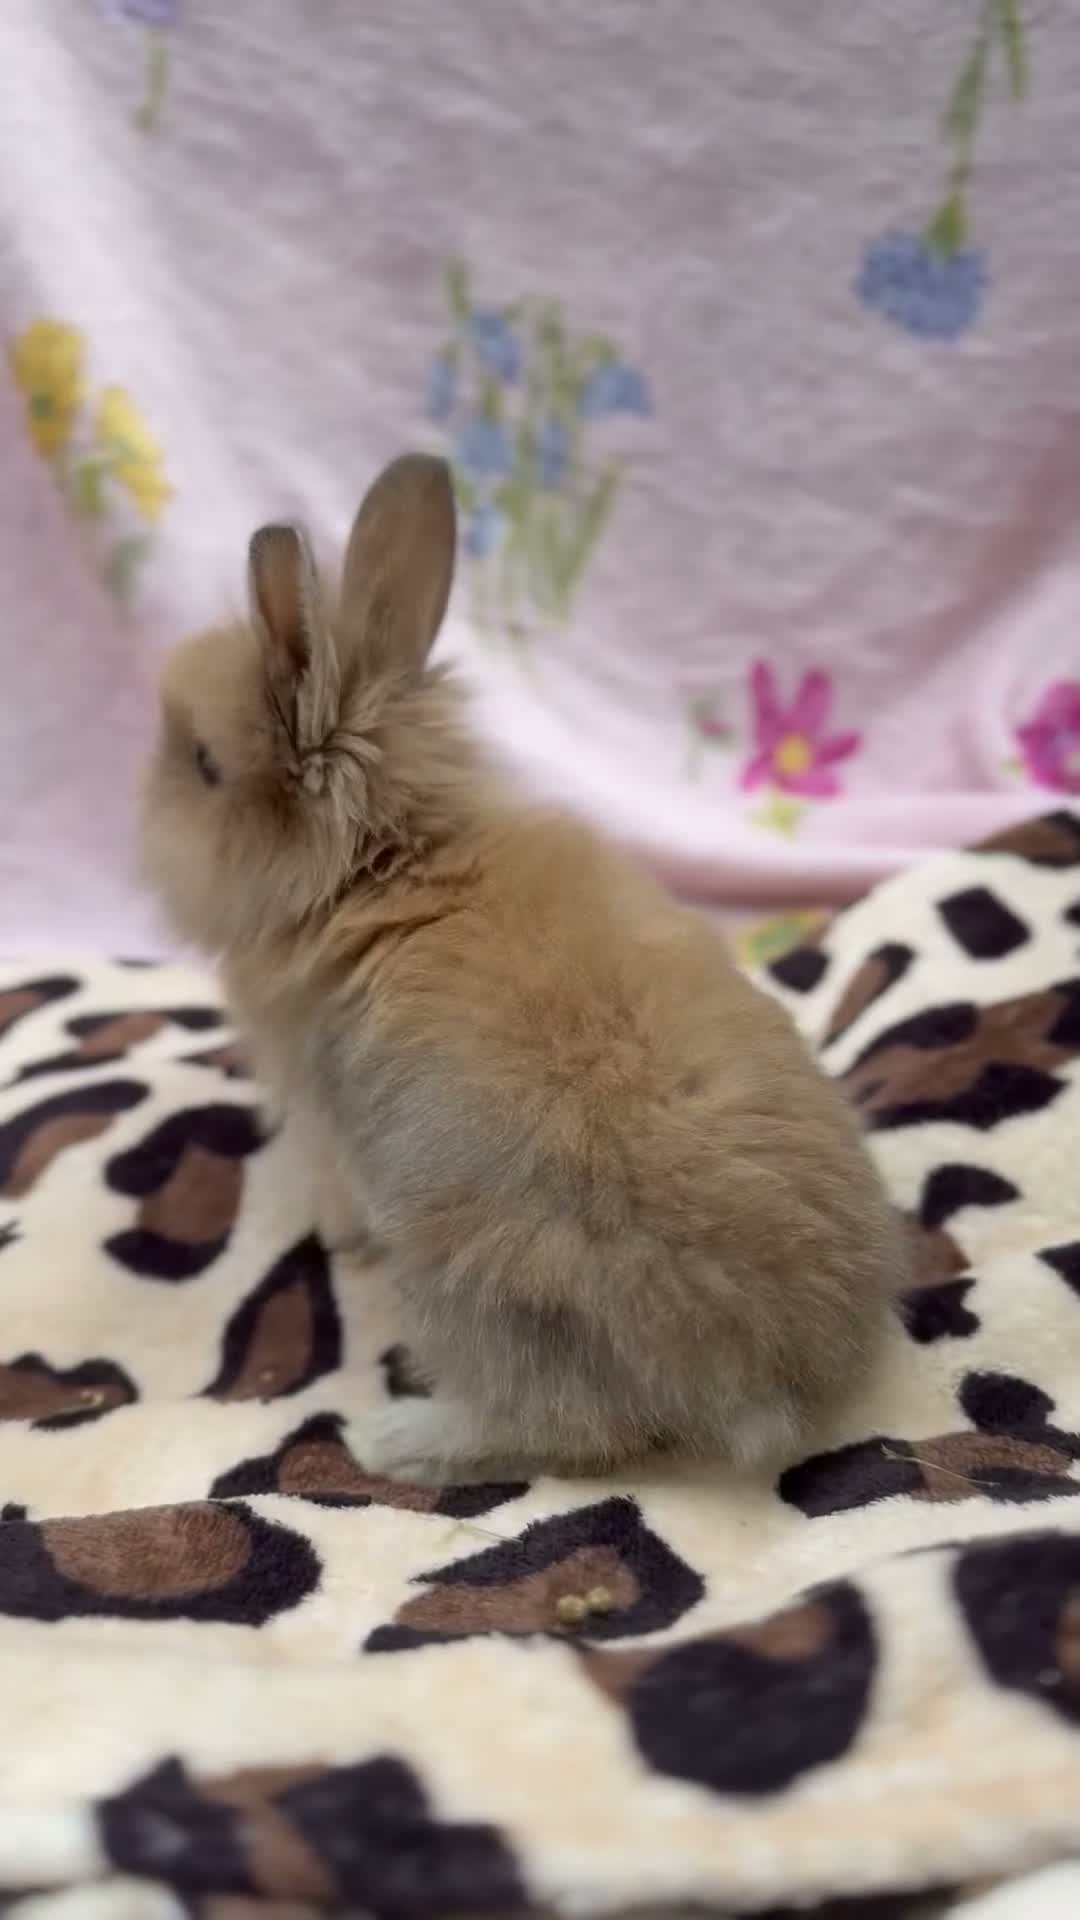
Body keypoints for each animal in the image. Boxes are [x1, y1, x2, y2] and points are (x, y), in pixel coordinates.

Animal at [140, 451, 904, 1485]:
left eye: (203, 763)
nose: (142, 806)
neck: (381, 864)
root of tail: (769, 1379)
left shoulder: (323, 1114)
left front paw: (334, 1242)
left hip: (476, 1283)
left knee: (560, 1427)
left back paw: (394, 1439)